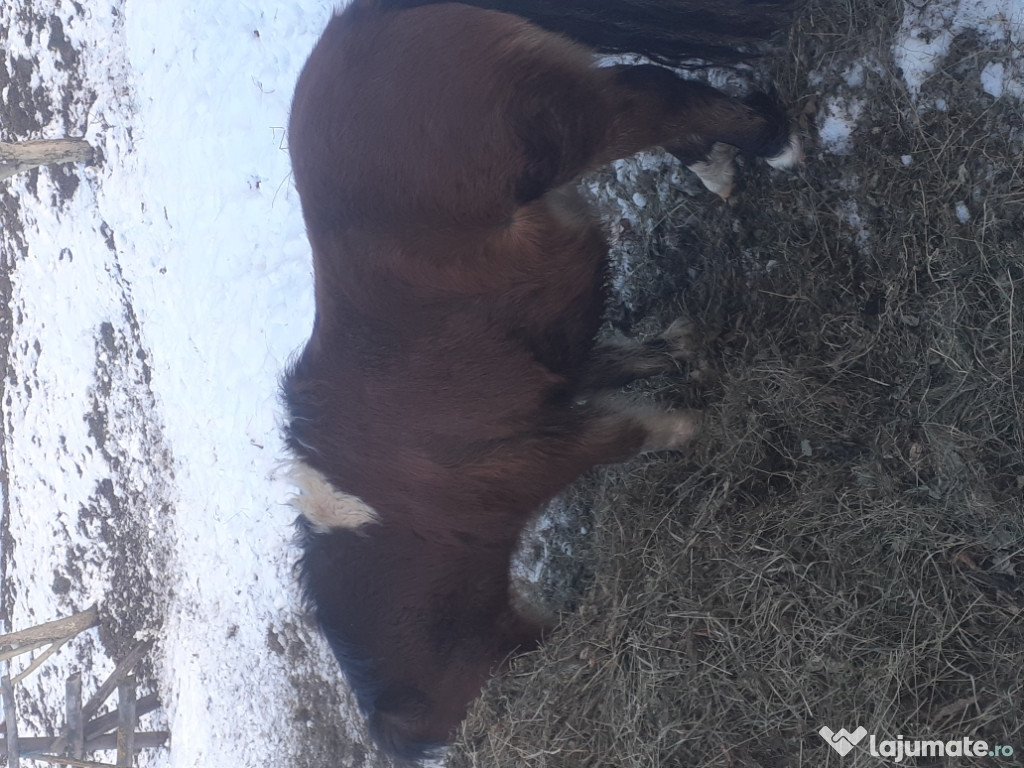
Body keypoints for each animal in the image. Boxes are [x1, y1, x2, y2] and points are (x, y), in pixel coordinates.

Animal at [284, 0, 802, 757]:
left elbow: (632, 431)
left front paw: (697, 428)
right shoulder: (559, 378)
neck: (397, 513)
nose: (546, 642)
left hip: (571, 123)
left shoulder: (548, 454)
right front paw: (688, 354)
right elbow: (623, 359)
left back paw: (772, 144)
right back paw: (722, 167)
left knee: (651, 96)